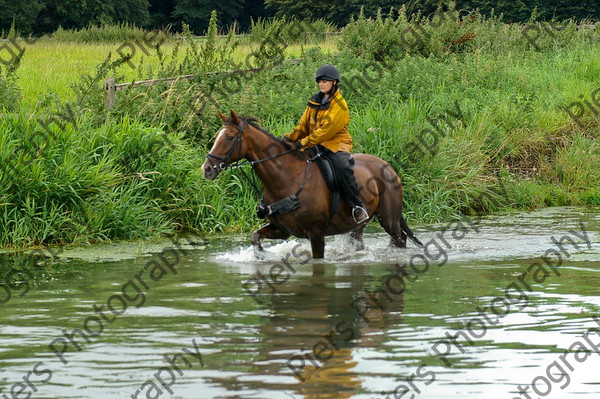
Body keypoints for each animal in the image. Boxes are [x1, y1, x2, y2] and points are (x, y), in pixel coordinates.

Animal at [202, 110, 422, 260]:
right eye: (216, 137)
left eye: (230, 137)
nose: (207, 168)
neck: (287, 178)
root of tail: (389, 167)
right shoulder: (282, 229)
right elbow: (255, 236)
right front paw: (261, 254)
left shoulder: (316, 235)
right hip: (358, 225)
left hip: (389, 219)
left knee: (399, 240)